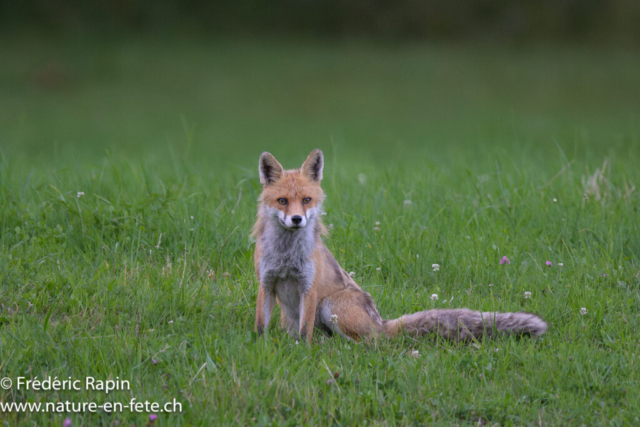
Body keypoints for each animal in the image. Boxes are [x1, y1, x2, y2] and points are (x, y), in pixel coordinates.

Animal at [253, 149, 548, 343]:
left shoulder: (309, 288)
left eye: (306, 200)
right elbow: (260, 327)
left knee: (371, 343)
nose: (297, 219)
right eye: (282, 201)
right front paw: (261, 348)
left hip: (332, 305)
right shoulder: (266, 283)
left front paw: (301, 350)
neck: (286, 256)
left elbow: (304, 334)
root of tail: (381, 322)